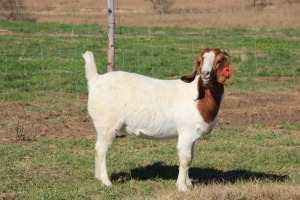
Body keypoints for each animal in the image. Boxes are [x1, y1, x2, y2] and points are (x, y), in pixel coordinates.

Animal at [82, 47, 234, 191]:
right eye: (201, 61)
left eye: (219, 60)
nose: (205, 74)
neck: (200, 98)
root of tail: (95, 79)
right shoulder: (186, 132)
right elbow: (185, 159)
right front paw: (182, 187)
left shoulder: (191, 135)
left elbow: (190, 157)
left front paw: (189, 183)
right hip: (106, 123)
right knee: (100, 149)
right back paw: (106, 182)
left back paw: (99, 178)